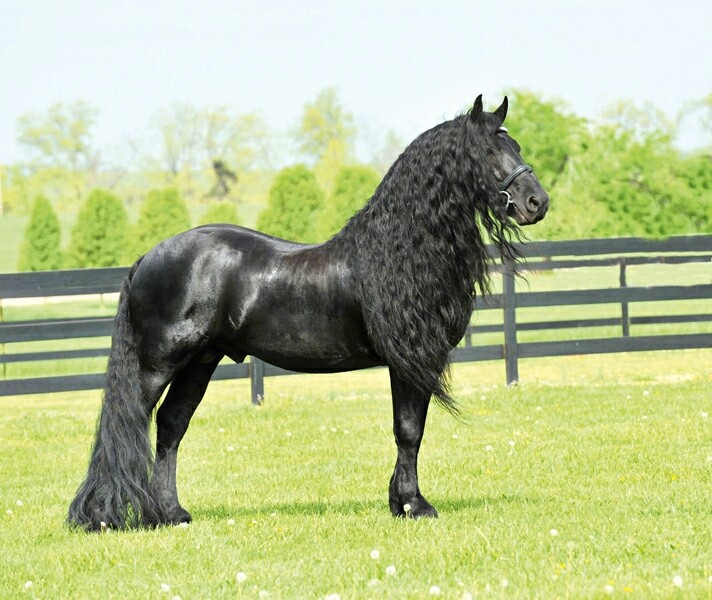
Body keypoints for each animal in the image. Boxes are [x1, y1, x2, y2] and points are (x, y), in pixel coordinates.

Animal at [68, 95, 549, 530]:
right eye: (488, 151)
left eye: (516, 145)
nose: (536, 203)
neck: (398, 252)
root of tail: (149, 256)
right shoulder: (409, 362)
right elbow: (409, 429)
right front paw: (415, 505)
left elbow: (409, 431)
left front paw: (399, 502)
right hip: (159, 363)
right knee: (128, 422)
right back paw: (108, 515)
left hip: (200, 362)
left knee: (170, 427)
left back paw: (171, 514)